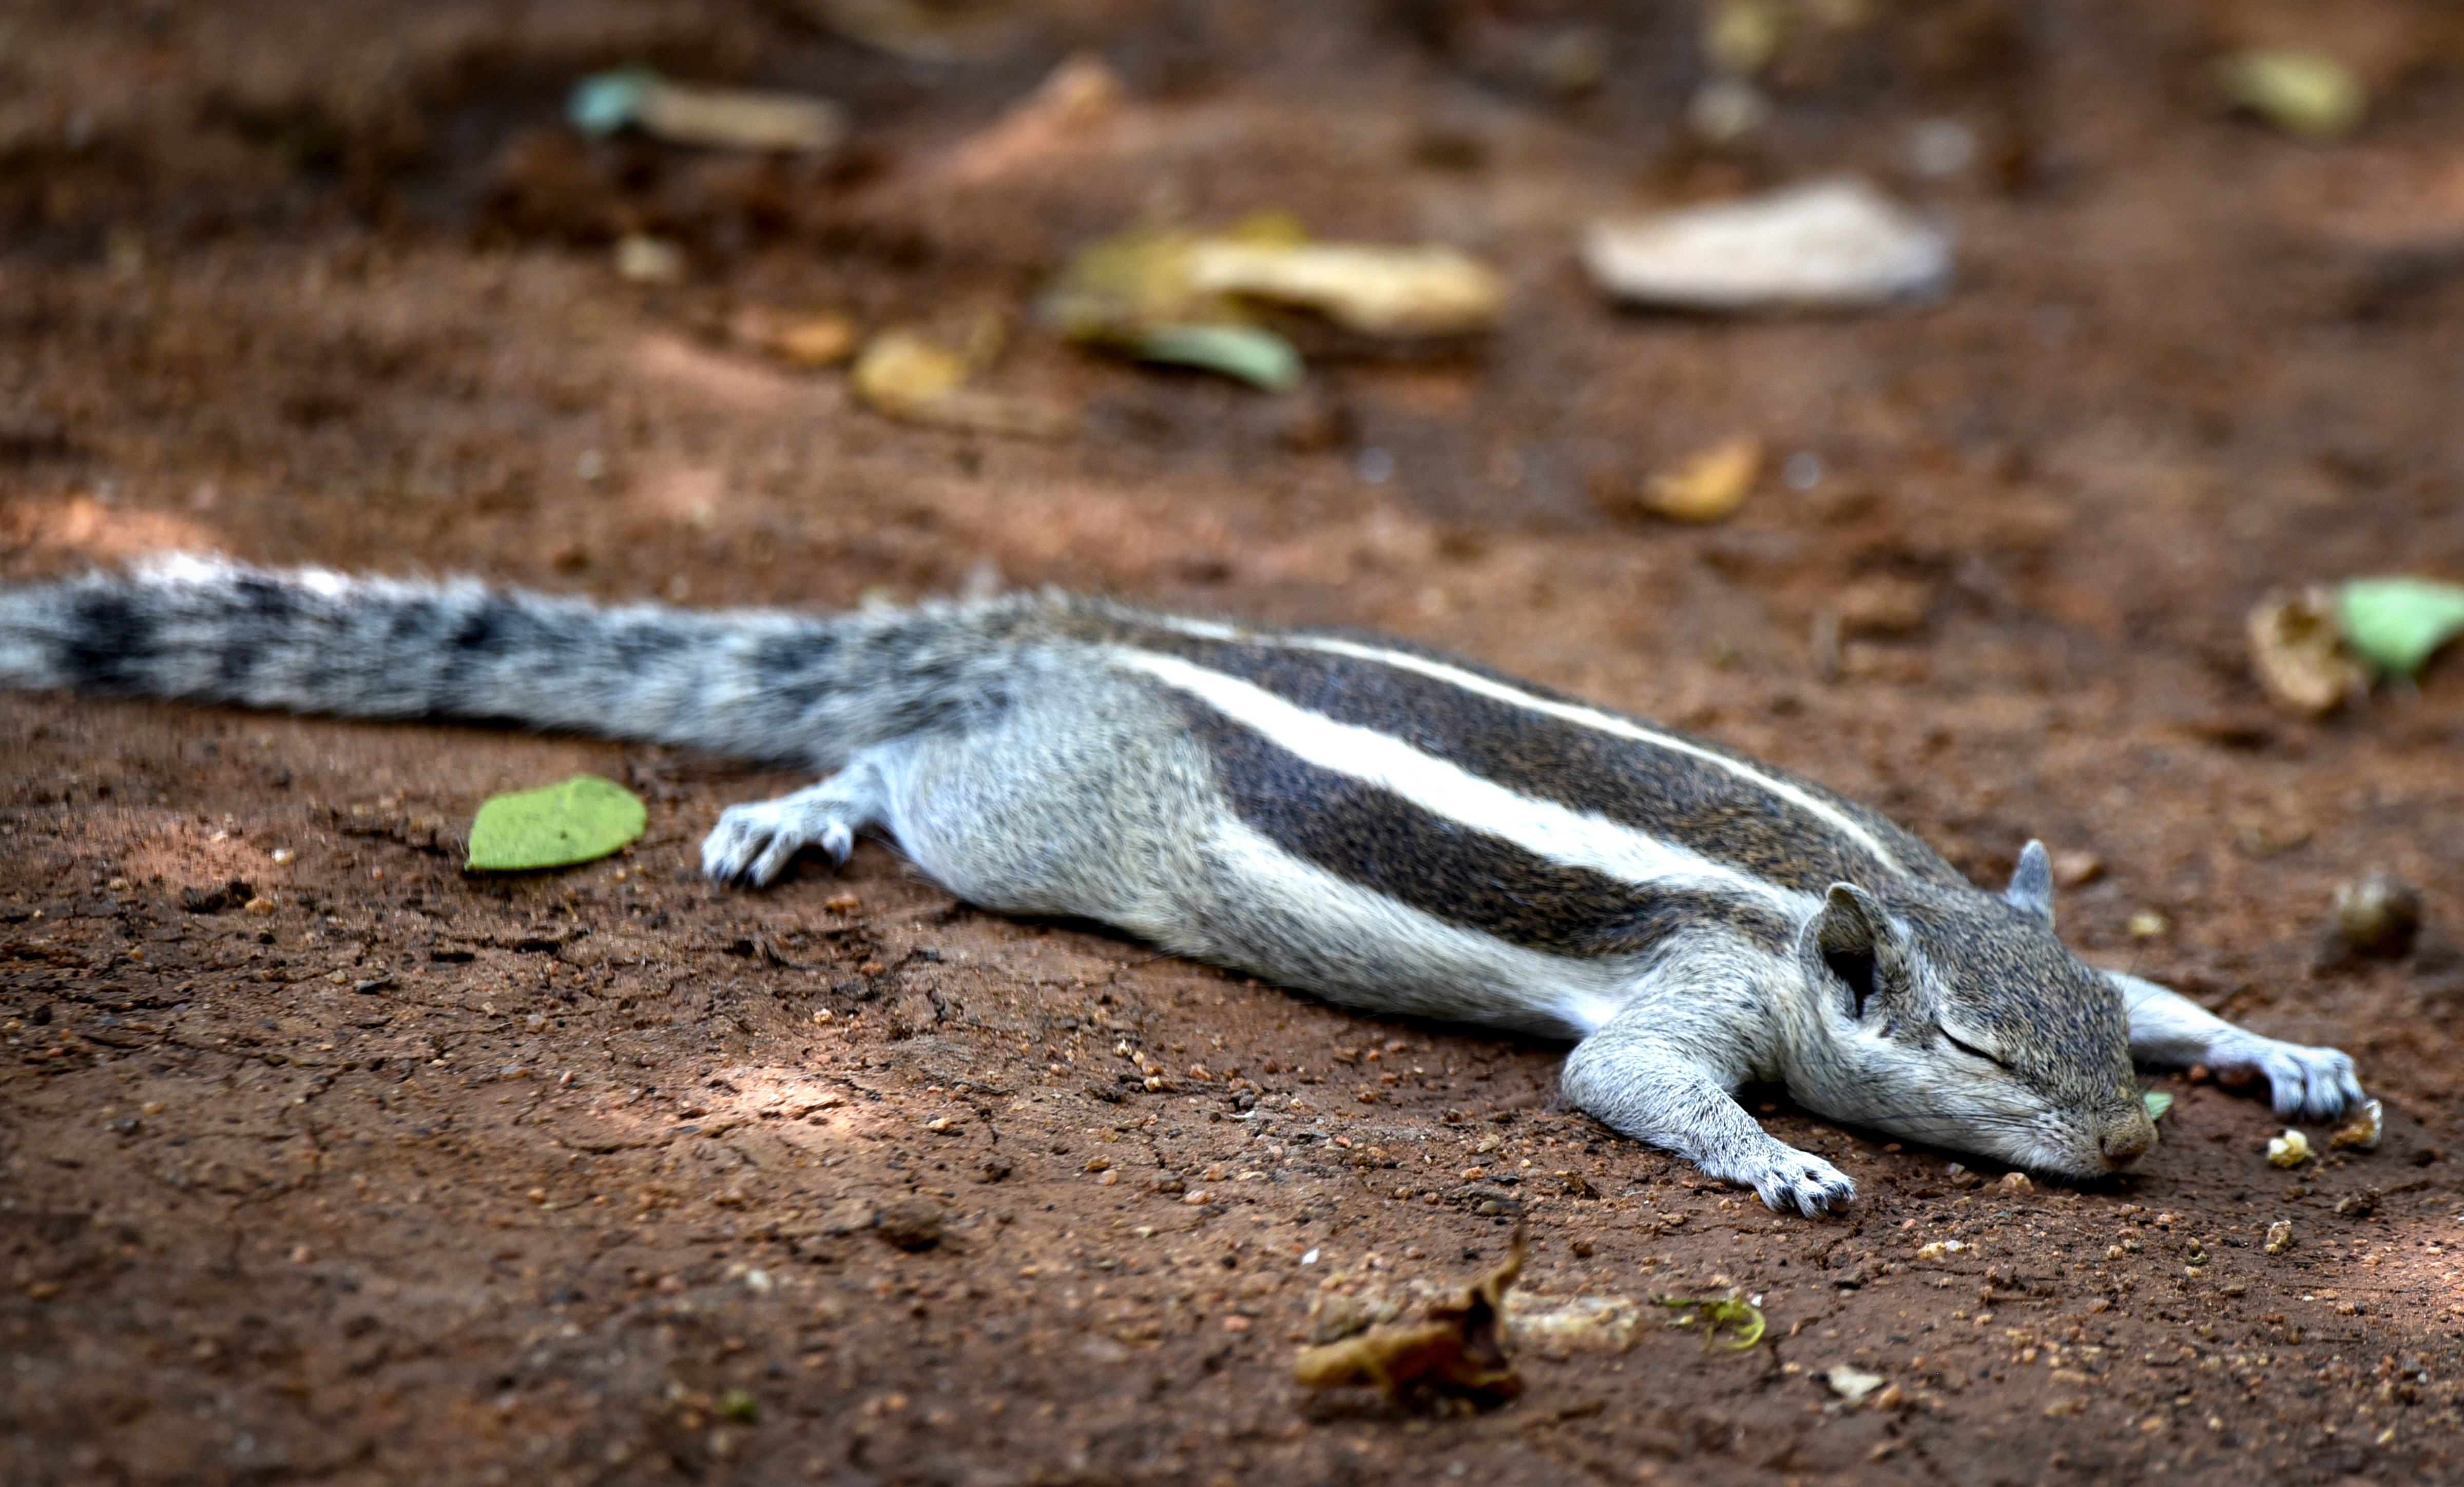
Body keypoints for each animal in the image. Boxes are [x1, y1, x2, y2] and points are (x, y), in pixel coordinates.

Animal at [0, 556, 2366, 1214]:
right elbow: (1630, 1087)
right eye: (1976, 1059)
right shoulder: (1689, 985)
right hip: (1028, 821)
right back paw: (809, 802)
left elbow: (2179, 989)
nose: (2125, 1151)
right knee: (905, 762)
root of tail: (1079, 630)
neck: (1849, 889)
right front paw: (1780, 1165)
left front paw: (2274, 1048)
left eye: (2080, 1040)